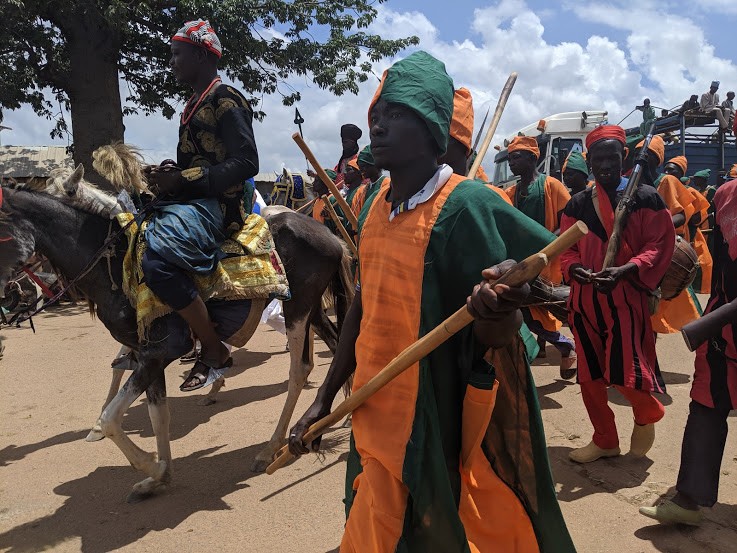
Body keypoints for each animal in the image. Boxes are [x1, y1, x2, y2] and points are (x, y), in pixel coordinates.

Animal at [0, 165, 352, 500]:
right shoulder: (145, 355)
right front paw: (159, 476)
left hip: (297, 309)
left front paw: (148, 463)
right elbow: (158, 414)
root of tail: (331, 237)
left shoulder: (159, 351)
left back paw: (271, 448)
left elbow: (111, 419)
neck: (114, 263)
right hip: (311, 310)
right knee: (336, 347)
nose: (11, 295)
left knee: (300, 369)